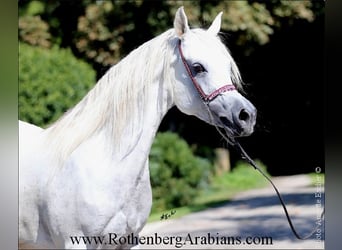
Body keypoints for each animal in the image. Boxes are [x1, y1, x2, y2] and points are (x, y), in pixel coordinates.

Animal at [19, 6, 256, 249]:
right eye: (198, 67)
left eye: (227, 67)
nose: (246, 116)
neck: (107, 162)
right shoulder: (74, 242)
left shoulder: (130, 239)